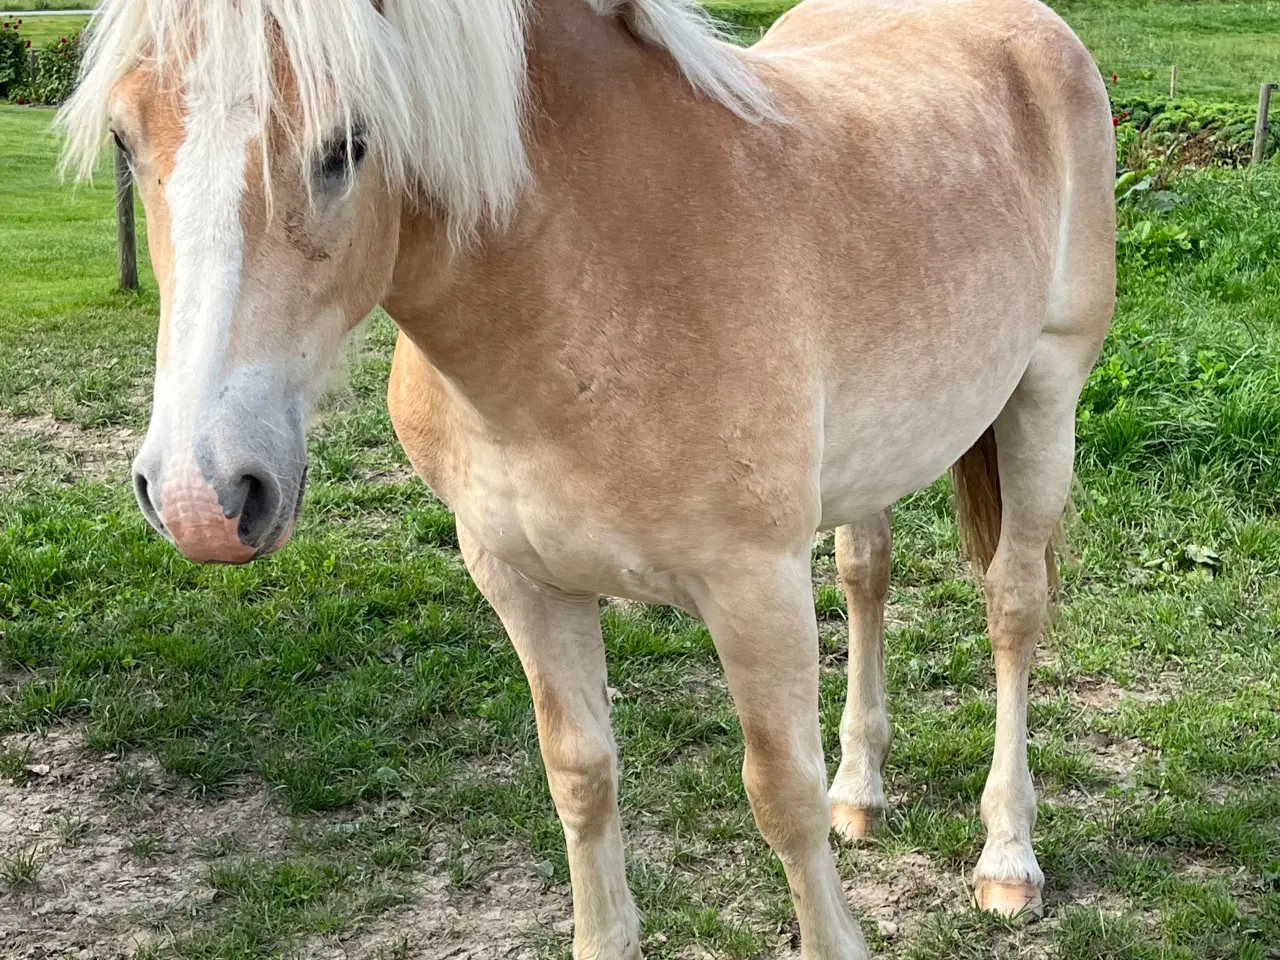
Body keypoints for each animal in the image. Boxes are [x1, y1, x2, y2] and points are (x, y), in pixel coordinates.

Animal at [64, 0, 1116, 957]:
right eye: (124, 136)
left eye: (349, 144)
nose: (201, 497)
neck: (585, 278)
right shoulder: (518, 578)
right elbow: (580, 775)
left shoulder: (755, 586)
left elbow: (780, 794)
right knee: (867, 576)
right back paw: (863, 794)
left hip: (1045, 396)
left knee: (1012, 607)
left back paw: (1007, 858)